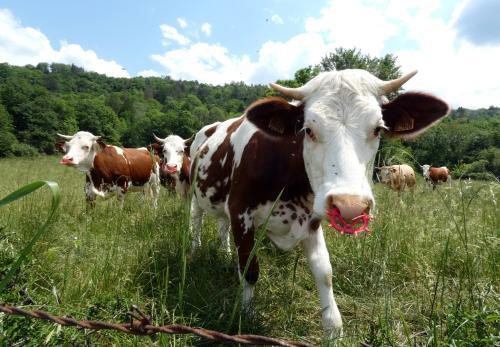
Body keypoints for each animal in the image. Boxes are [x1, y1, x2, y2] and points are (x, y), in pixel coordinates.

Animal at [188, 68, 450, 334]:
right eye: (308, 130)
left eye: (378, 129)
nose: (350, 205)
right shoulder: (241, 211)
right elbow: (250, 269)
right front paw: (247, 314)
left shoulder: (310, 220)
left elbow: (325, 273)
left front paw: (334, 329)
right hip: (196, 192)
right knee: (196, 218)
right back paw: (194, 247)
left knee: (222, 225)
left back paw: (225, 250)